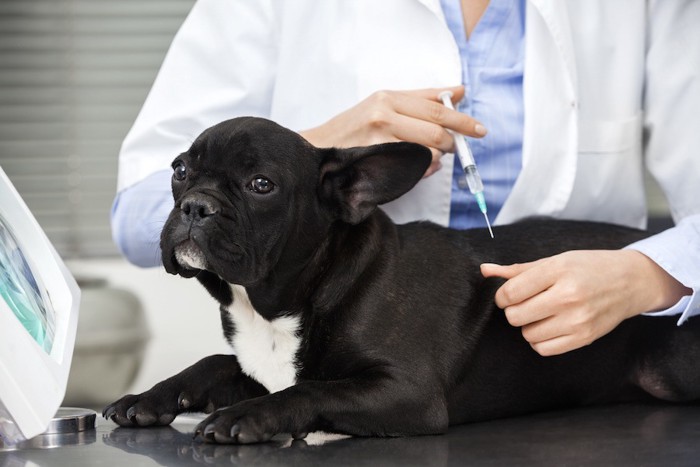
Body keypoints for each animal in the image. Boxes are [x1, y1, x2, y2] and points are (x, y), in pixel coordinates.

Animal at [104, 115, 700, 444]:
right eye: (180, 169)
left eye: (260, 185)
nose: (195, 205)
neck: (278, 305)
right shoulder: (259, 365)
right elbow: (216, 363)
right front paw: (155, 395)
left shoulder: (405, 392)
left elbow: (313, 387)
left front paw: (248, 416)